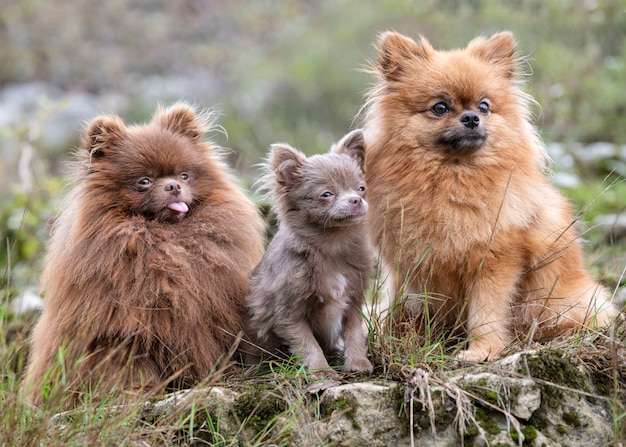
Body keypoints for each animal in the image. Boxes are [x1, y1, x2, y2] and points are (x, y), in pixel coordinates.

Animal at [22, 103, 264, 408]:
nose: (173, 186)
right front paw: (137, 394)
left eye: (184, 175)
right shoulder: (124, 334)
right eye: (144, 181)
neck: (165, 242)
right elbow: (128, 369)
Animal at [243, 130, 370, 374]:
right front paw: (321, 371)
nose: (356, 200)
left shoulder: (353, 302)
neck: (331, 248)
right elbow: (308, 344)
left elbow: (354, 334)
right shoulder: (287, 314)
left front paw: (358, 363)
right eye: (326, 194)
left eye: (361, 188)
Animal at [364, 31, 616, 362]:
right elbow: (400, 307)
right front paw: (391, 338)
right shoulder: (408, 266)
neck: (452, 180)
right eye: (440, 108)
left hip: (558, 304)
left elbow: (485, 313)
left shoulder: (495, 263)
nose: (472, 117)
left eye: (484, 106)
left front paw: (482, 350)